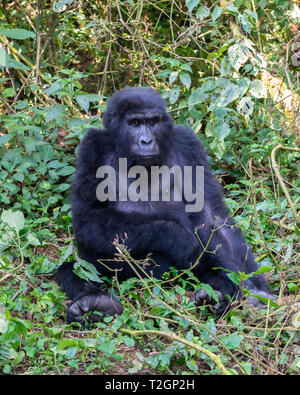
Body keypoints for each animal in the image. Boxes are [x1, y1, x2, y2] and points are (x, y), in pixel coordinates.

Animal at [55, 86, 276, 324]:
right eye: (134, 123)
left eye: (152, 122)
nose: (146, 141)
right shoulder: (93, 147)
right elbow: (88, 218)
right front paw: (176, 236)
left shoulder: (187, 143)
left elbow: (211, 215)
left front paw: (254, 288)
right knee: (76, 268)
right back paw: (95, 303)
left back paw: (214, 295)